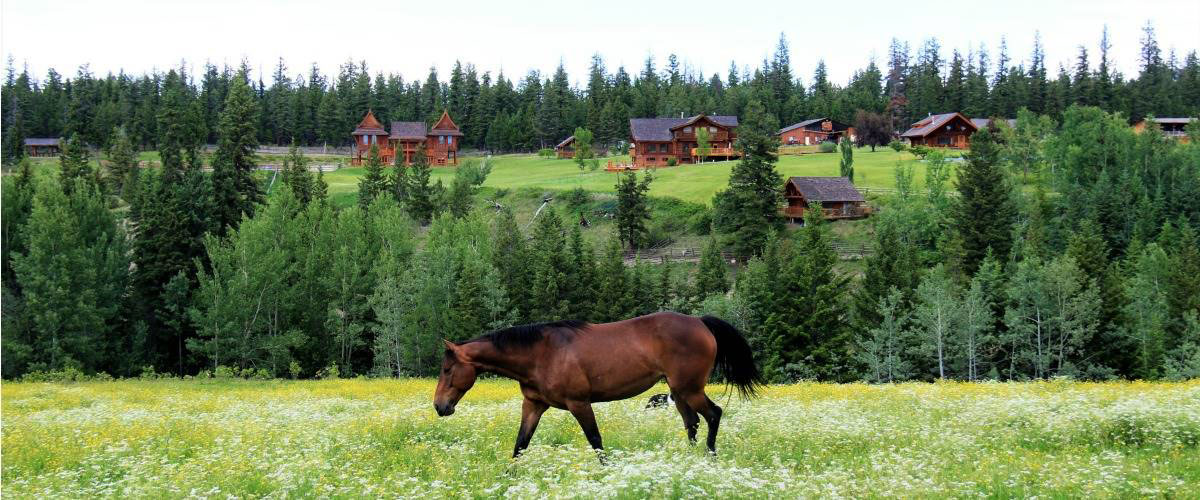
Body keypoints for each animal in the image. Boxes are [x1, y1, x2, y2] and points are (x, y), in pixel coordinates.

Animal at [436, 309, 763, 458]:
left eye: (448, 368)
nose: (439, 406)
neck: (540, 354)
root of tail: (700, 322)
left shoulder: (579, 404)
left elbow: (595, 441)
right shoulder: (534, 405)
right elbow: (520, 445)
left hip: (690, 389)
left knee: (713, 415)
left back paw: (709, 456)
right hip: (678, 391)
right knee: (691, 423)